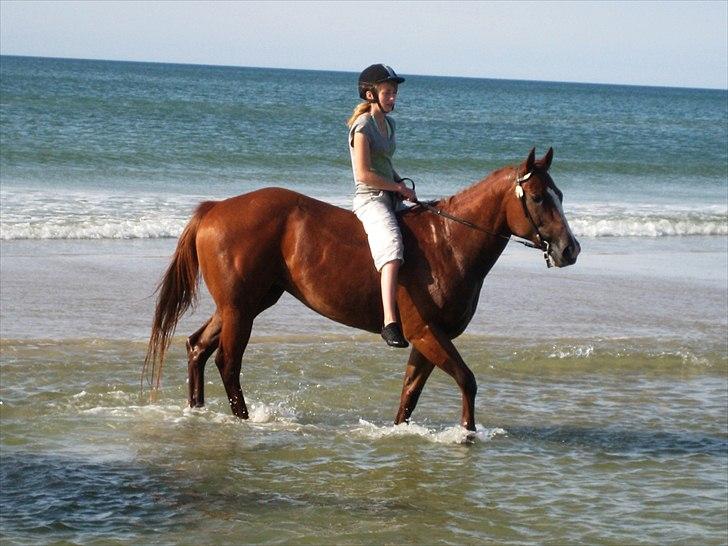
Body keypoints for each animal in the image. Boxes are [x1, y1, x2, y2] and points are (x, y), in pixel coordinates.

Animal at [145, 149, 580, 430]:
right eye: (538, 197)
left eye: (560, 195)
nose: (569, 249)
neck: (448, 241)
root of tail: (214, 209)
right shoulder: (427, 333)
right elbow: (466, 379)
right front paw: (467, 435)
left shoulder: (428, 339)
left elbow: (410, 394)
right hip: (240, 310)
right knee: (228, 363)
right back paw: (244, 421)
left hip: (245, 305)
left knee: (198, 347)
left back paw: (198, 412)